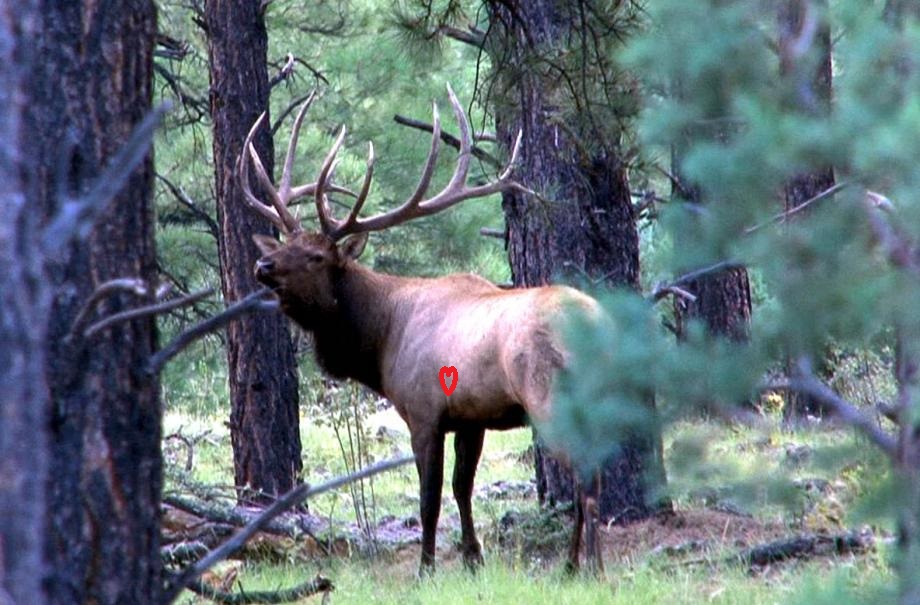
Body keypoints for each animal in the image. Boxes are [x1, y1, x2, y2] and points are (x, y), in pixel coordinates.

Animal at [236, 84, 605, 575]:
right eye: (285, 244)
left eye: (316, 256)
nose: (263, 265)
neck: (381, 340)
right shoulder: (471, 416)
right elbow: (462, 488)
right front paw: (472, 558)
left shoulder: (424, 410)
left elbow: (429, 499)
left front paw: (426, 568)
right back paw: (570, 565)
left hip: (551, 398)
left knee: (587, 475)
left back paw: (592, 566)